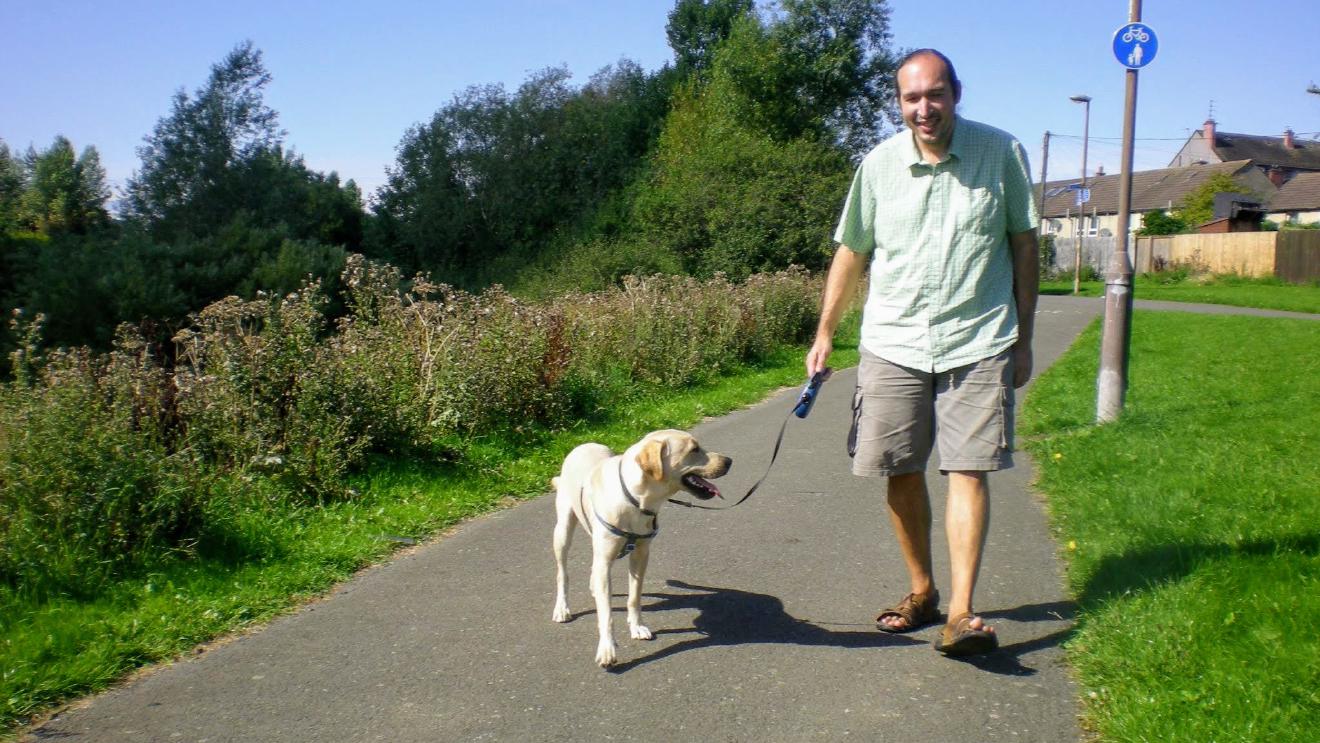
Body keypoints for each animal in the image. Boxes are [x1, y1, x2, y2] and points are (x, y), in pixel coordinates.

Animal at [546, 430, 733, 667]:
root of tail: (583, 445)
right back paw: (562, 608)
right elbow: (605, 614)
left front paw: (637, 627)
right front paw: (607, 648)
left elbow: (634, 597)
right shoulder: (606, 560)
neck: (635, 499)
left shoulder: (641, 554)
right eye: (694, 449)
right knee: (563, 573)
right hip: (563, 531)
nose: (729, 461)